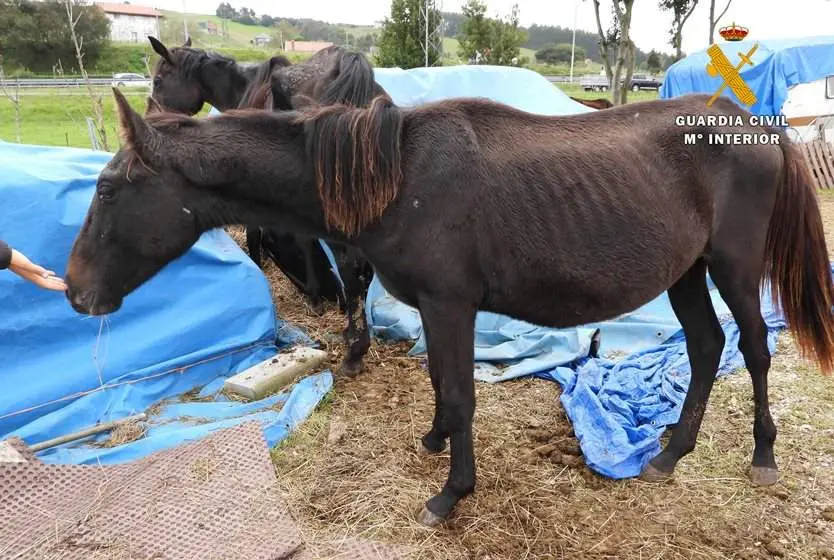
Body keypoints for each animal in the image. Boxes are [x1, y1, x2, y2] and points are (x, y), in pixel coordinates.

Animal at [63, 89, 832, 528]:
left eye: (107, 190)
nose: (74, 291)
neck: (397, 177)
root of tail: (755, 125)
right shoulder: (435, 310)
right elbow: (439, 382)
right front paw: (434, 443)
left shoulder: (451, 304)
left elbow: (461, 393)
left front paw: (451, 494)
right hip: (686, 273)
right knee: (705, 349)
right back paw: (671, 452)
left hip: (734, 268)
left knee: (753, 350)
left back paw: (763, 456)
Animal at [147, 37, 384, 378]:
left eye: (158, 80)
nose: (149, 118)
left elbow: (262, 236)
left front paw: (306, 293)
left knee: (351, 265)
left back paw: (354, 349)